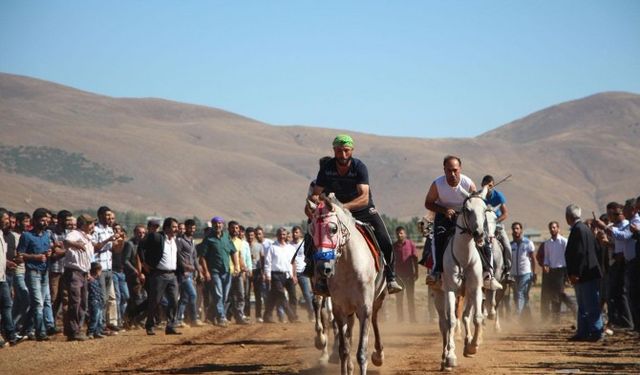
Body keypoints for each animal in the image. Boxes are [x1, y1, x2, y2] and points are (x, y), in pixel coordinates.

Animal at [308, 194, 388, 375]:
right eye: (312, 230)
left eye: (333, 229)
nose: (323, 267)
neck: (348, 266)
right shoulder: (339, 308)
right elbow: (344, 350)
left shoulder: (364, 308)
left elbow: (361, 353)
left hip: (377, 298)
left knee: (375, 319)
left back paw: (378, 355)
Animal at [436, 187, 496, 372]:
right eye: (467, 210)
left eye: (484, 210)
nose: (479, 234)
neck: (464, 257)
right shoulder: (449, 290)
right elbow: (451, 322)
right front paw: (450, 357)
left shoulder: (475, 288)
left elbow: (477, 317)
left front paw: (472, 346)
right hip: (440, 295)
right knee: (444, 323)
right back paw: (444, 357)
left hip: (468, 293)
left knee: (466, 316)